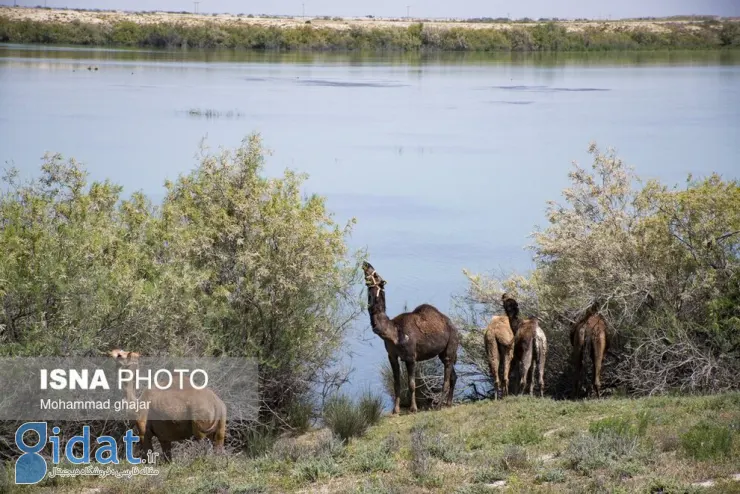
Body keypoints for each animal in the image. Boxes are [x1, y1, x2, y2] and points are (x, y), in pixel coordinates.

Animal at [362, 260, 460, 414]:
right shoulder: (392, 355)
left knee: (446, 378)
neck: (392, 332)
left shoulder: (410, 356)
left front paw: (413, 408)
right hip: (443, 353)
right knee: (453, 376)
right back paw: (448, 403)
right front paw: (395, 410)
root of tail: (455, 329)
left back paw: (438, 405)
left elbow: (412, 383)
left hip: (451, 346)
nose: (365, 263)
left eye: (376, 275)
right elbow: (396, 383)